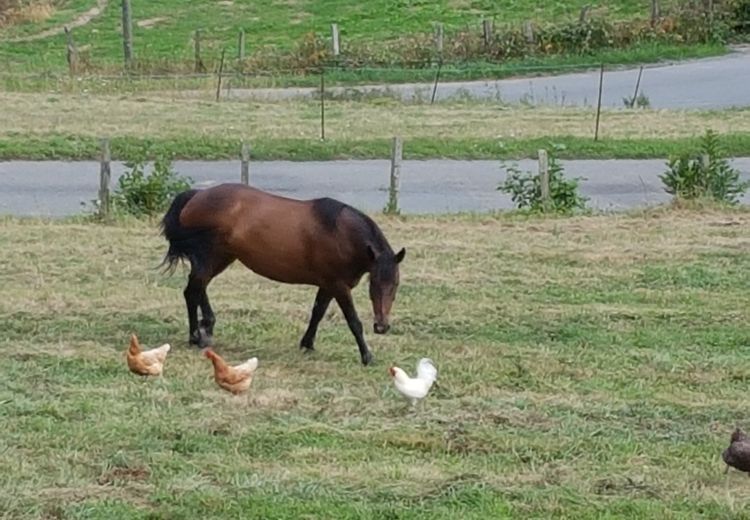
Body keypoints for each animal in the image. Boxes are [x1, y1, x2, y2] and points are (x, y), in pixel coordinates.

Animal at [159, 183, 406, 366]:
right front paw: (367, 356)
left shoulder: (327, 285)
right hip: (210, 257)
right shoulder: (339, 286)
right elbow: (353, 321)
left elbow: (317, 312)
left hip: (220, 258)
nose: (382, 327)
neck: (339, 232)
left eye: (395, 285)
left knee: (197, 288)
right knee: (193, 290)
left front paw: (307, 344)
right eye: (373, 284)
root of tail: (196, 195)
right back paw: (196, 336)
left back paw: (205, 328)